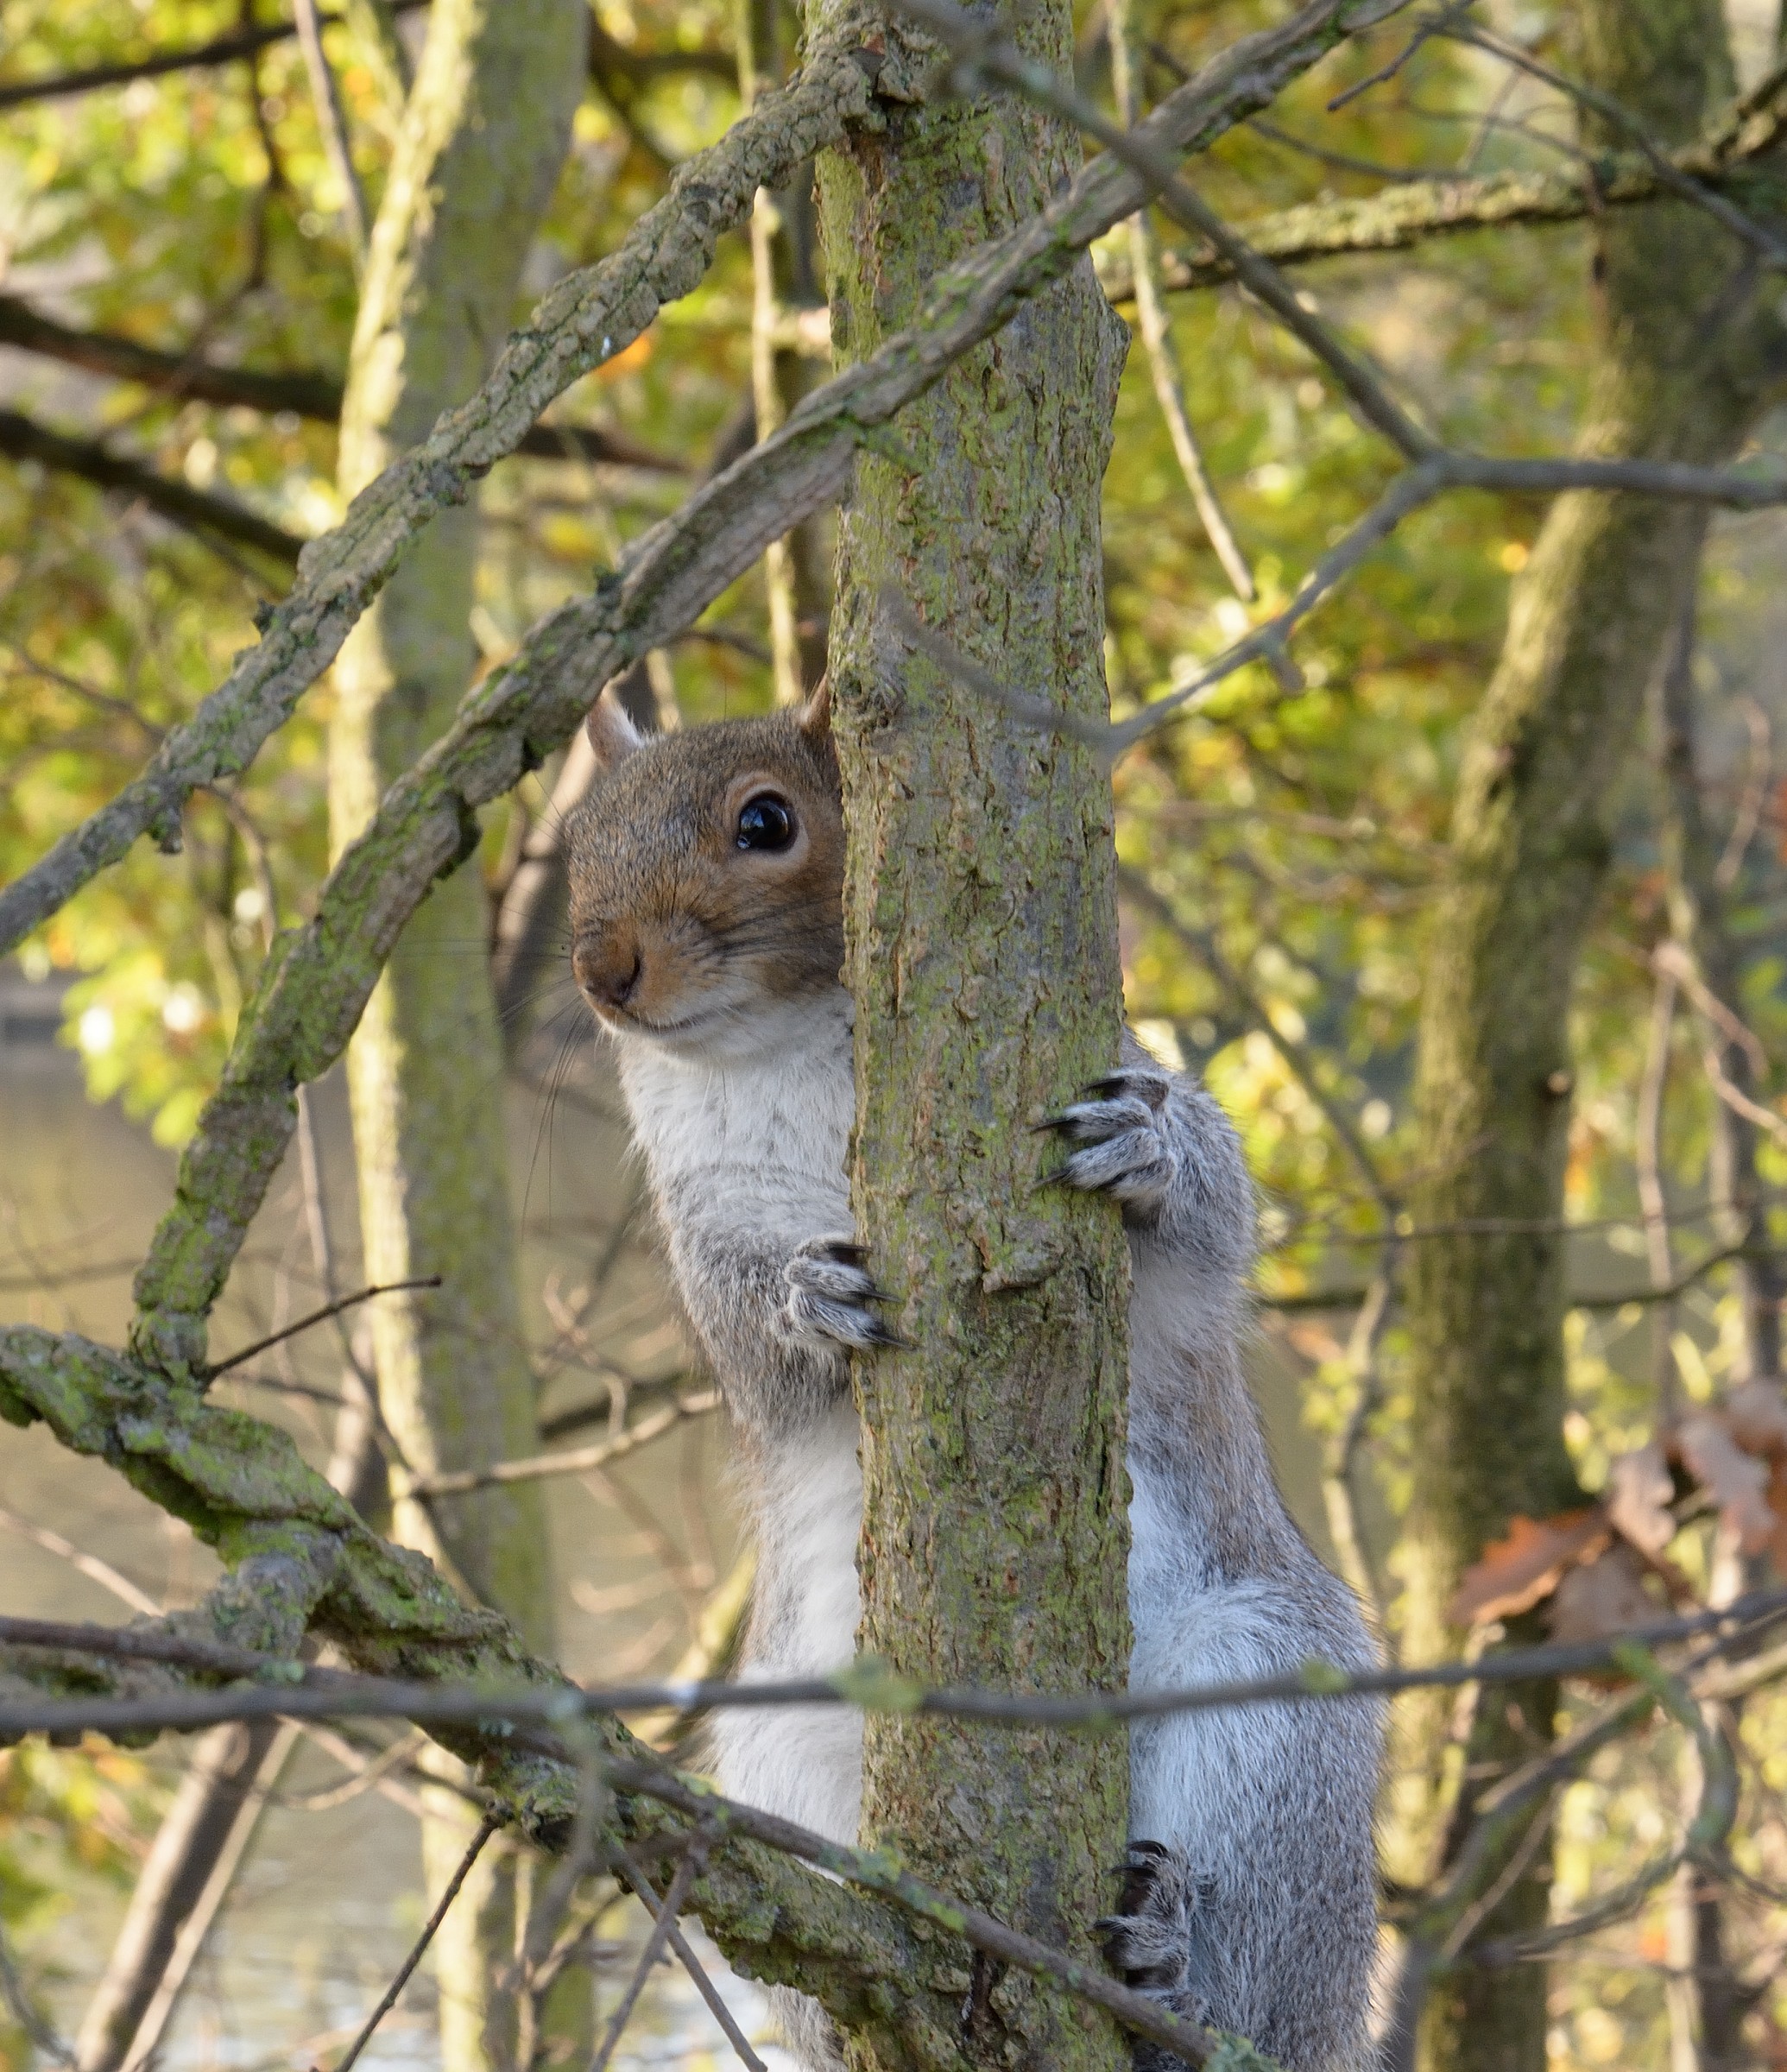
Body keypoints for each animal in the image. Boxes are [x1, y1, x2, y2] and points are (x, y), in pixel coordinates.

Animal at [564, 679, 1383, 2072]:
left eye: (766, 822)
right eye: (576, 833)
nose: (602, 971)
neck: (776, 1048)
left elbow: (1212, 1217)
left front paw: (1148, 1146)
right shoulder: (704, 1214)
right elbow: (752, 1345)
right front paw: (809, 1300)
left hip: (1274, 1712)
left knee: (1251, 1969)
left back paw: (1176, 1974)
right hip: (787, 1755)